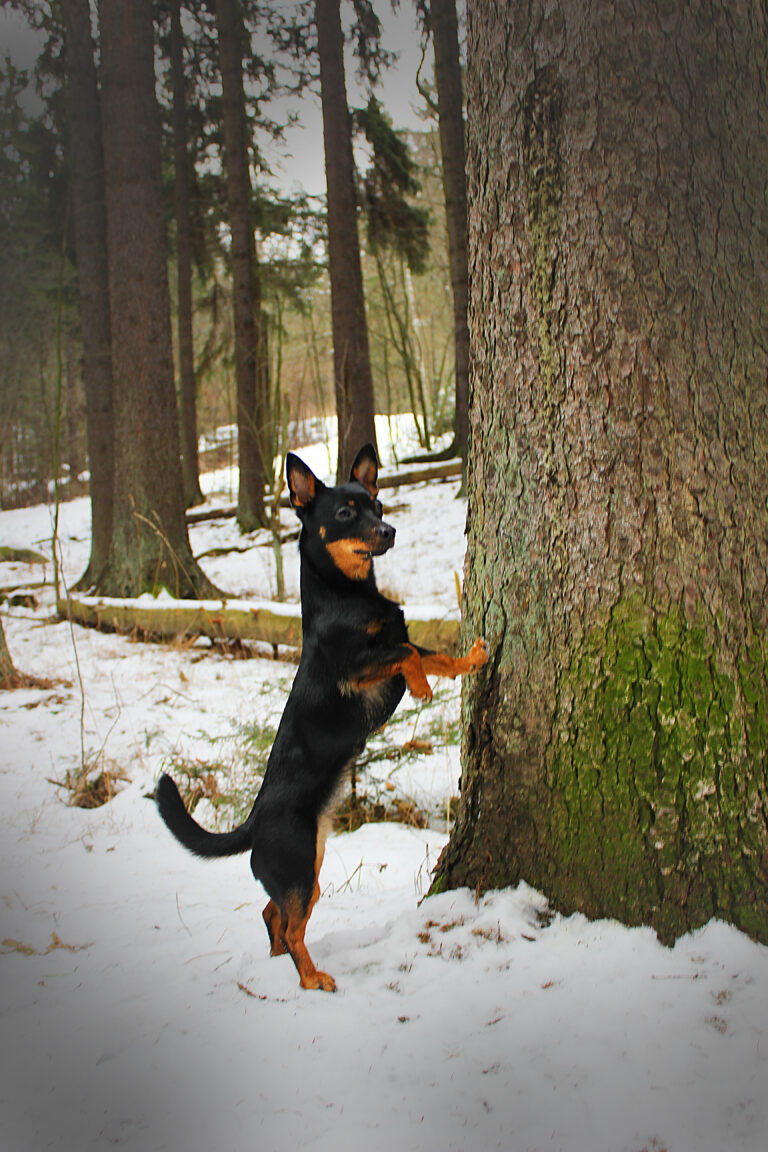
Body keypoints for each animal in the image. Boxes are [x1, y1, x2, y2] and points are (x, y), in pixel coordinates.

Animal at [158, 442, 490, 990]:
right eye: (345, 514)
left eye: (377, 505)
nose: (389, 531)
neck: (348, 595)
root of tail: (253, 823)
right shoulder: (356, 667)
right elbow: (408, 654)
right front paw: (422, 688)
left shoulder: (393, 642)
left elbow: (432, 653)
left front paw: (473, 659)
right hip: (297, 869)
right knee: (291, 926)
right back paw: (312, 979)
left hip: (307, 872)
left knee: (272, 915)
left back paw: (282, 964)